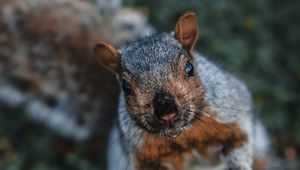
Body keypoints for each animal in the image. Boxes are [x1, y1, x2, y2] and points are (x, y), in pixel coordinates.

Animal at [94, 12, 270, 170]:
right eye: (125, 86)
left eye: (189, 67)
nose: (167, 113)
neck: (183, 135)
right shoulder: (142, 154)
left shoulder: (234, 115)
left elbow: (239, 143)